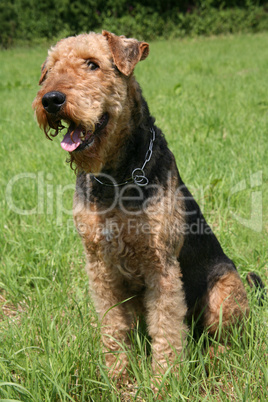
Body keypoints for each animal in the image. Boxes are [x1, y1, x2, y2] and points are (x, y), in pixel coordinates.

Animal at [31, 31, 262, 376]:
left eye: (92, 64)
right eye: (50, 69)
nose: (51, 100)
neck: (115, 177)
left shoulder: (161, 266)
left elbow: (166, 331)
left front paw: (163, 380)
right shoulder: (99, 266)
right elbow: (113, 327)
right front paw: (118, 377)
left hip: (225, 289)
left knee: (224, 339)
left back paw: (211, 358)